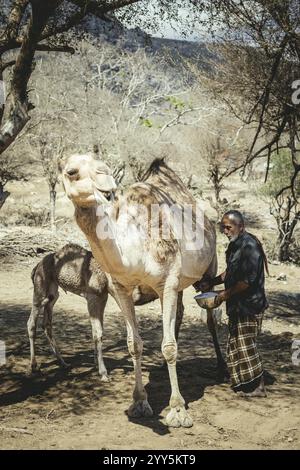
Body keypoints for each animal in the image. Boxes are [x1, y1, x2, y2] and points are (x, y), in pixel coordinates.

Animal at [28, 244, 161, 380]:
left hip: (53, 293)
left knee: (47, 323)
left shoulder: (103, 296)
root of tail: (37, 266)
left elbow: (97, 331)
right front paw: (103, 373)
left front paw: (96, 364)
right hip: (40, 287)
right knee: (31, 322)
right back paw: (34, 366)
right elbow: (98, 333)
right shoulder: (94, 296)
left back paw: (63, 362)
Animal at [62, 153, 226, 426]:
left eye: (104, 166)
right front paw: (139, 403)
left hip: (207, 270)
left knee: (209, 316)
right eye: (71, 171)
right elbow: (134, 344)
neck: (135, 249)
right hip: (179, 284)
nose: (106, 181)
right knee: (180, 312)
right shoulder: (121, 289)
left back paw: (222, 367)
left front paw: (178, 411)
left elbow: (169, 346)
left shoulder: (167, 283)